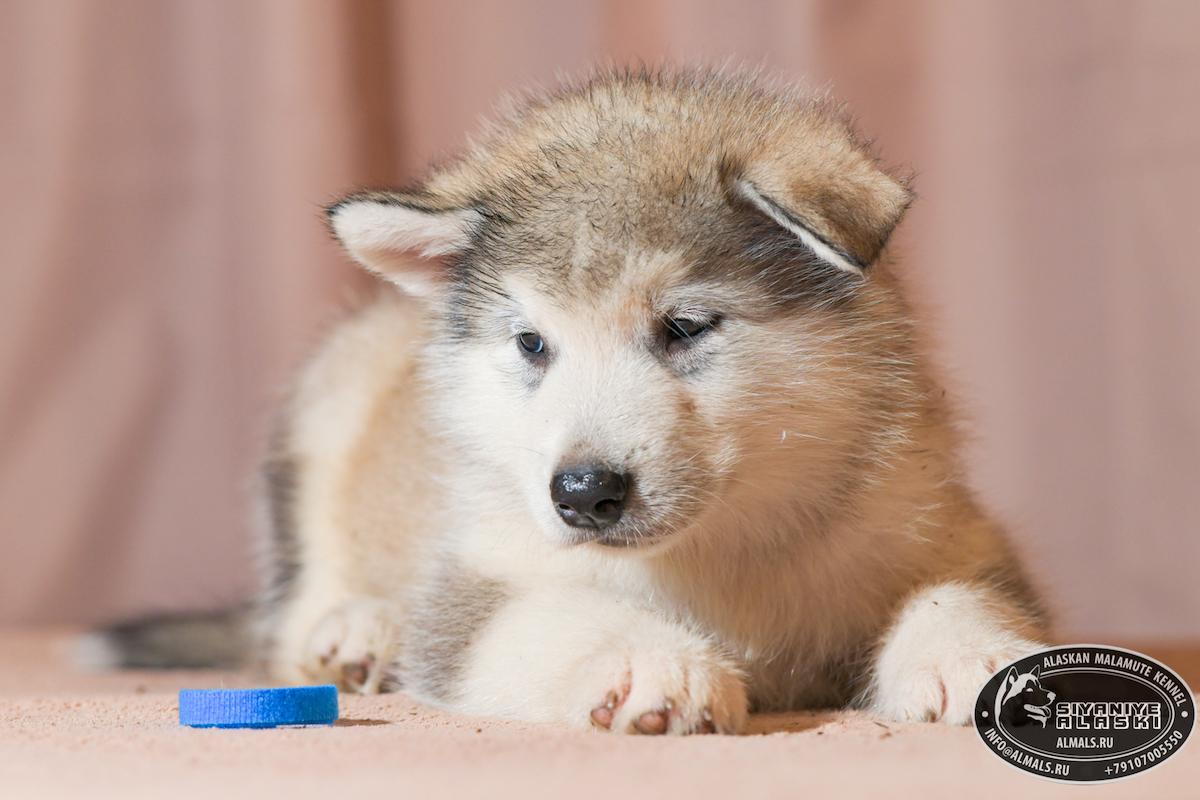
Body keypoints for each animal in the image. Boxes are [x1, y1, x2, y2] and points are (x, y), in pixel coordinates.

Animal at [98, 70, 1046, 738]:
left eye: (684, 326)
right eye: (531, 343)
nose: (583, 493)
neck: (719, 555)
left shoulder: (945, 529)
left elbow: (960, 590)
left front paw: (977, 653)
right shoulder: (477, 582)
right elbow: (546, 613)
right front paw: (641, 660)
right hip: (325, 412)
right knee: (293, 612)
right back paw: (357, 632)